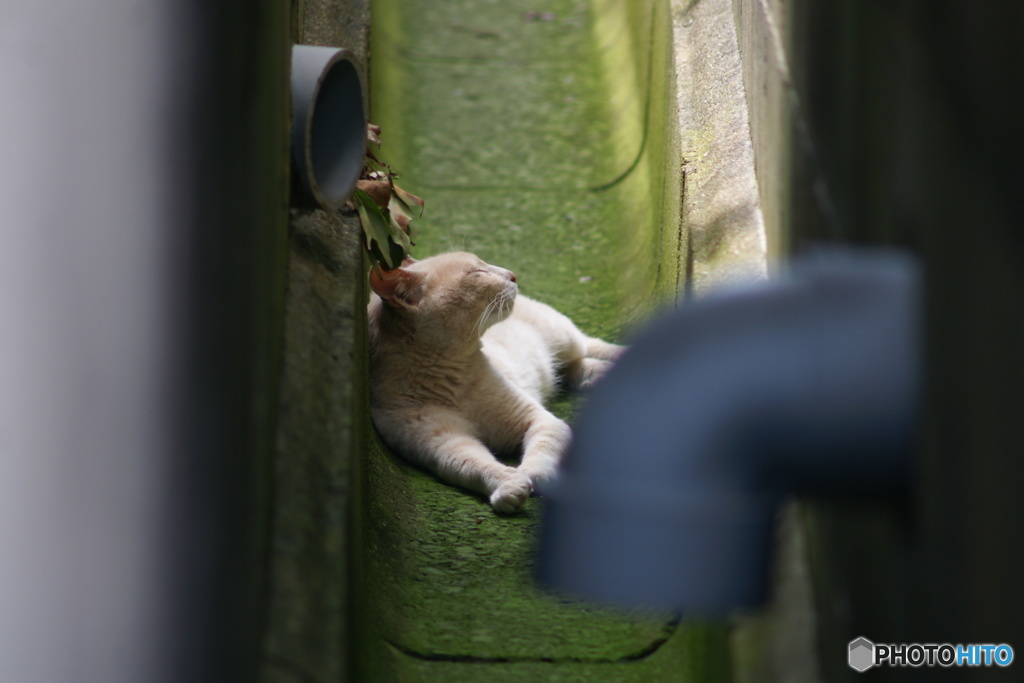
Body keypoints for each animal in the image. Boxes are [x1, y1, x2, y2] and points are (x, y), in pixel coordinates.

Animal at [368, 252, 622, 511]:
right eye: (477, 273)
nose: (512, 275)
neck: (451, 381)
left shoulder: (539, 420)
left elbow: (542, 450)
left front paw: (533, 475)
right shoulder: (447, 442)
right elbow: (474, 465)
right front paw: (508, 484)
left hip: (564, 337)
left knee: (589, 346)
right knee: (573, 367)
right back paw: (596, 376)